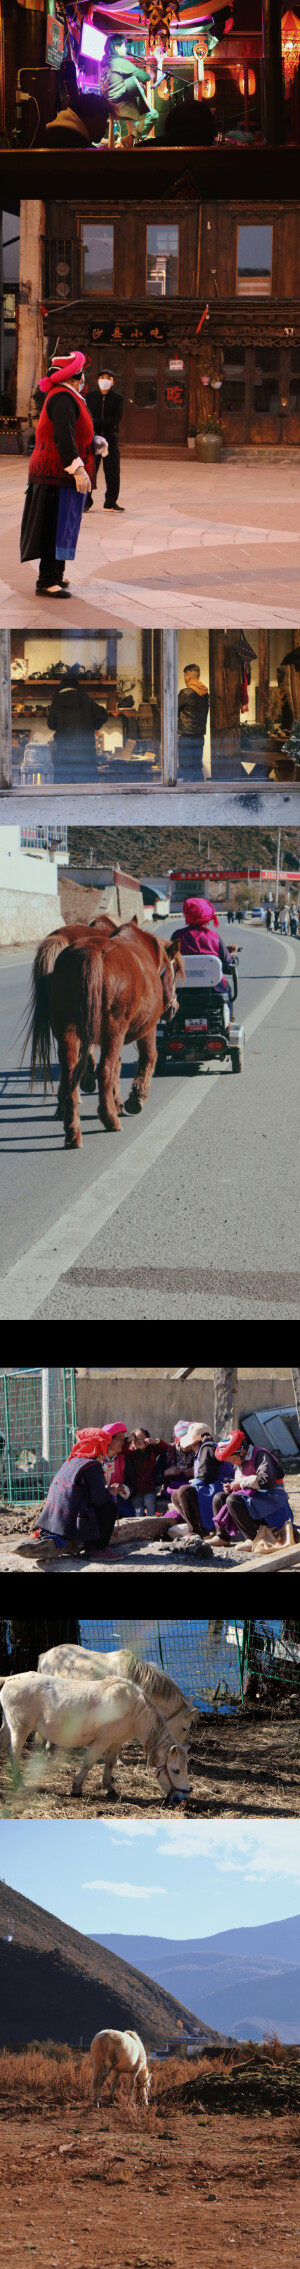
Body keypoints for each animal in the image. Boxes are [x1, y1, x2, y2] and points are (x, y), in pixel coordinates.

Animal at [24, 921, 182, 1143]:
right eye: (174, 970)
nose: (174, 1008)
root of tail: (89, 952)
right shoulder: (146, 1029)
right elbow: (148, 1057)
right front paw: (136, 1098)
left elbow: (117, 1066)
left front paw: (117, 1101)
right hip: (113, 1032)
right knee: (104, 1069)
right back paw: (109, 1119)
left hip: (69, 1031)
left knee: (70, 1072)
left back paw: (72, 1128)